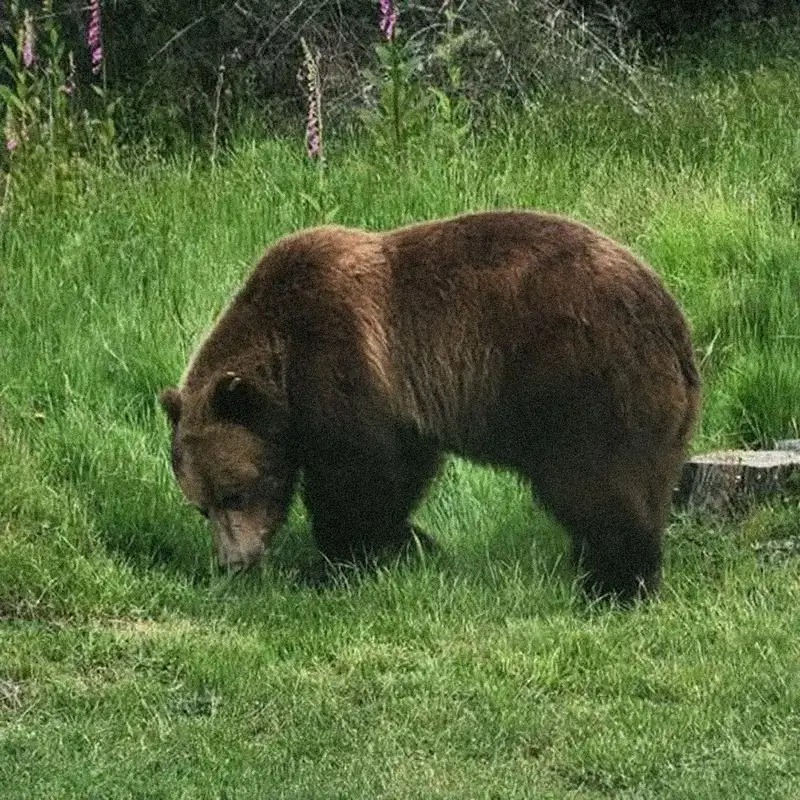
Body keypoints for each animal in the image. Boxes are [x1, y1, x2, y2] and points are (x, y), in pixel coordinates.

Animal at [159, 210, 700, 601]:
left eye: (234, 494)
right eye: (202, 507)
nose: (233, 562)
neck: (281, 359)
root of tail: (672, 323)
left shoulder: (339, 357)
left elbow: (355, 477)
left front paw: (337, 561)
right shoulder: (400, 405)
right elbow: (402, 470)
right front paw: (412, 543)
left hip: (581, 382)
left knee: (596, 483)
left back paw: (615, 581)